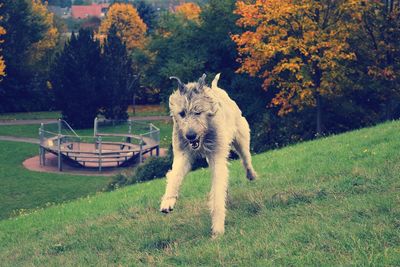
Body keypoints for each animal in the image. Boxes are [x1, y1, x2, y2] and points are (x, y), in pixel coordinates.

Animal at [159, 74, 256, 239]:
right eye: (182, 113)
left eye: (198, 112)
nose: (190, 136)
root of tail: (216, 88)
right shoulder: (183, 153)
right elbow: (175, 175)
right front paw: (168, 200)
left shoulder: (217, 156)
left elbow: (217, 192)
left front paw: (217, 228)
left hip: (241, 136)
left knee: (246, 158)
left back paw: (251, 174)